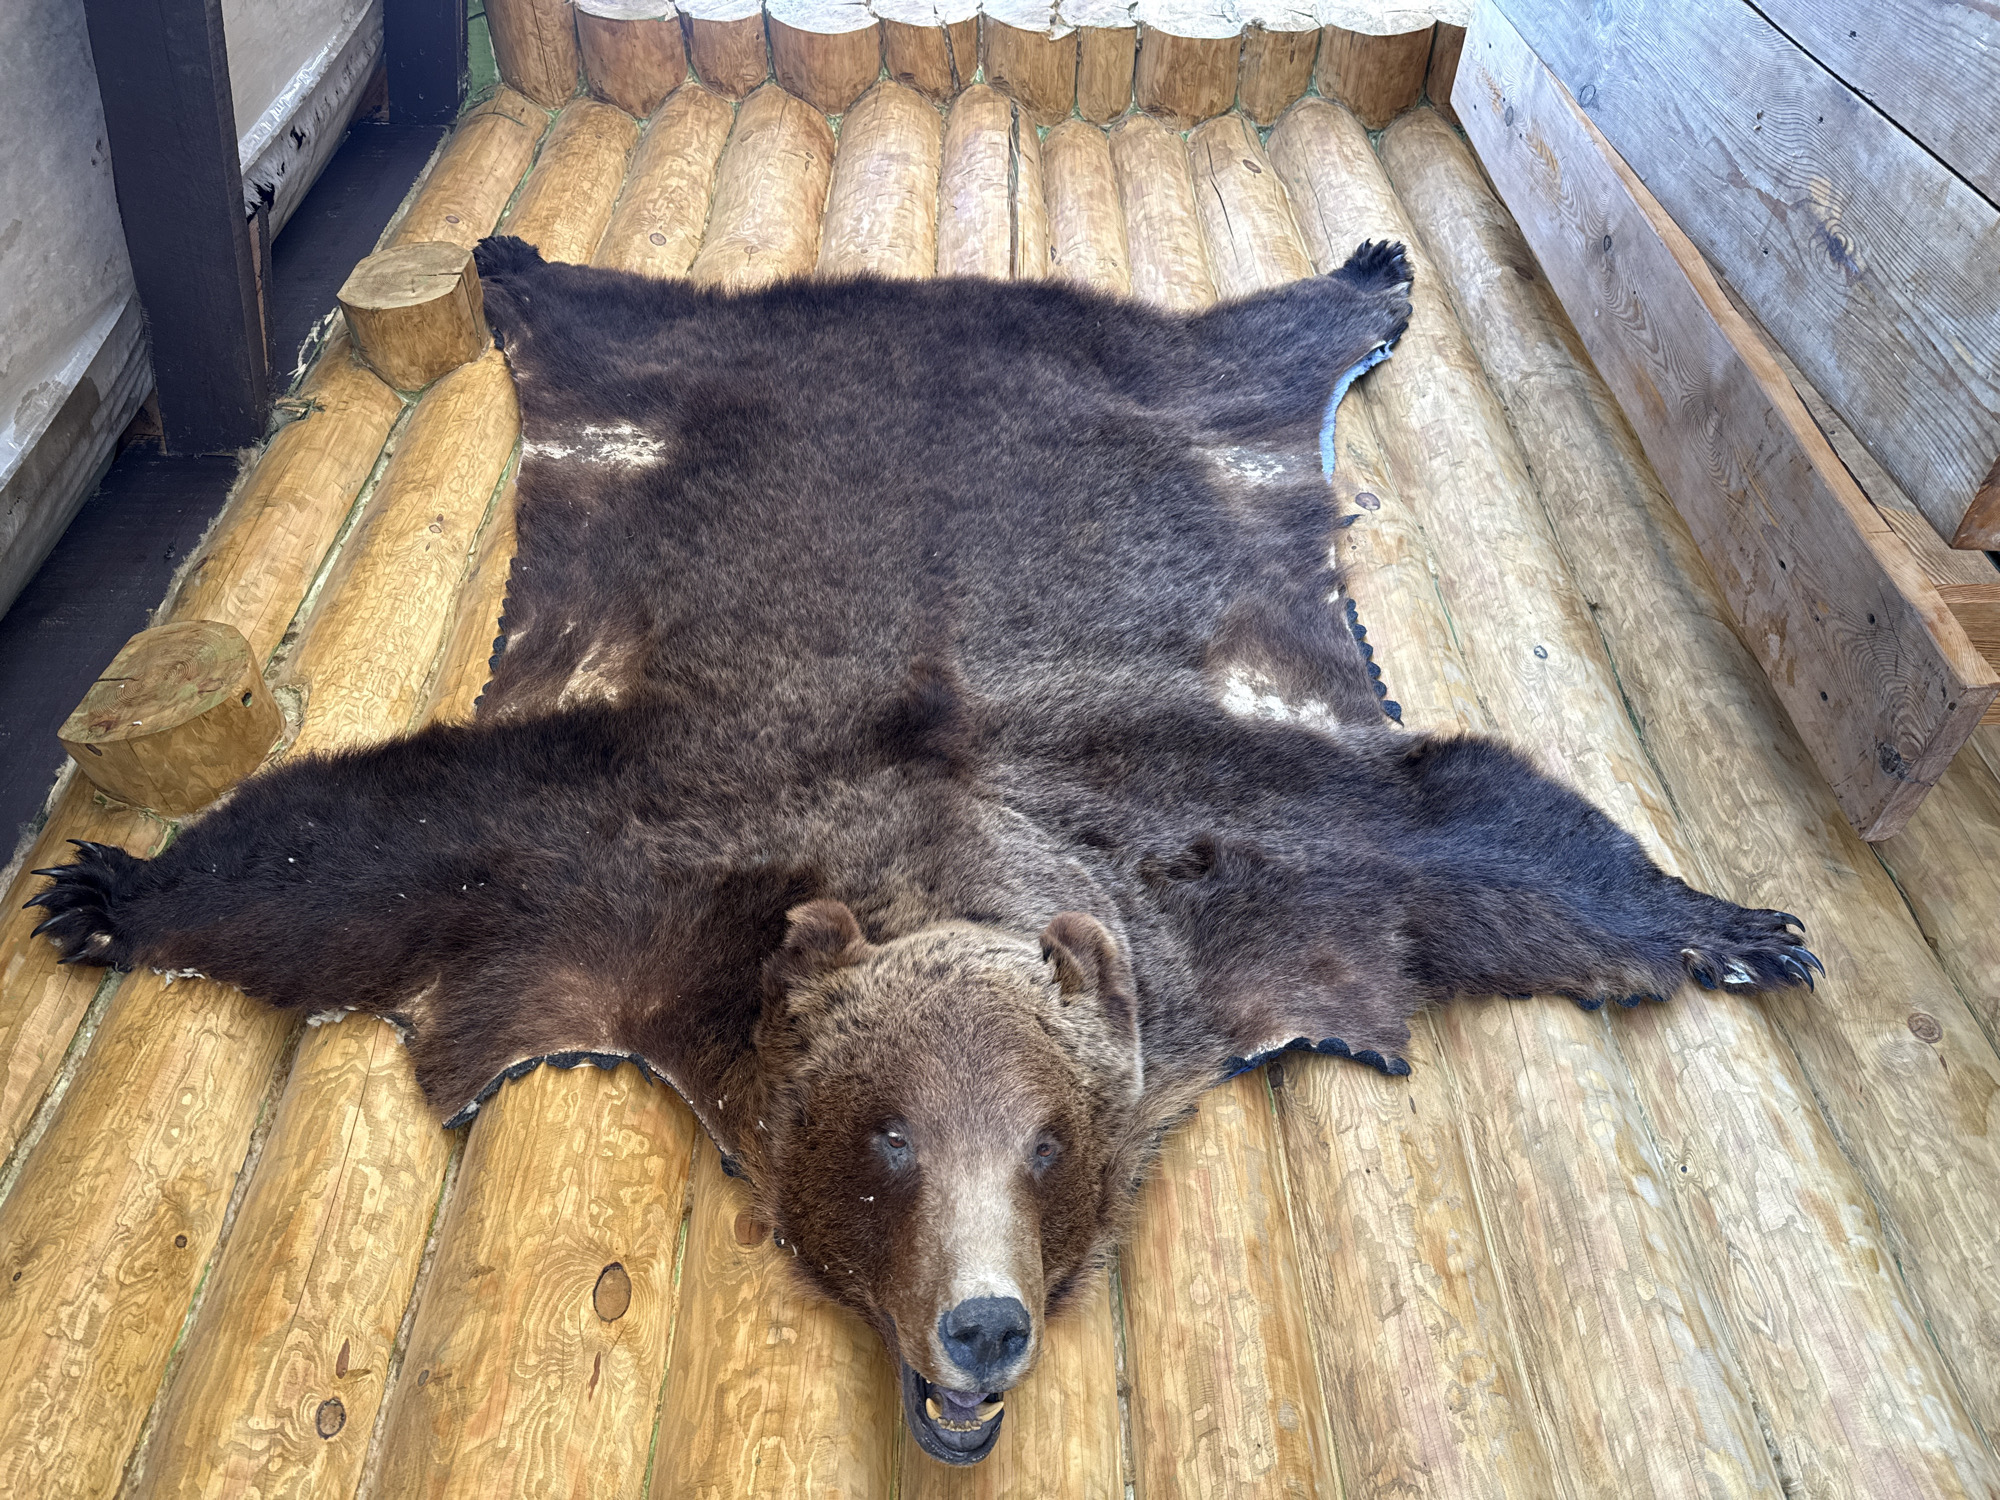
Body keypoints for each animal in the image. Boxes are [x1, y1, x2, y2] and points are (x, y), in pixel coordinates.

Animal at [27, 237, 1819, 1466]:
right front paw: (105, 884)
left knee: (1260, 339)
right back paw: (521, 258)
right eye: (885, 1138)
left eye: (1045, 1141)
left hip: (1180, 393)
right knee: (617, 315)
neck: (947, 838)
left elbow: (1473, 823)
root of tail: (935, 294)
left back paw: (1367, 273)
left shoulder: (1240, 853)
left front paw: (1740, 919)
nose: (984, 1322)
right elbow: (379, 840)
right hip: (673, 368)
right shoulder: (638, 859)